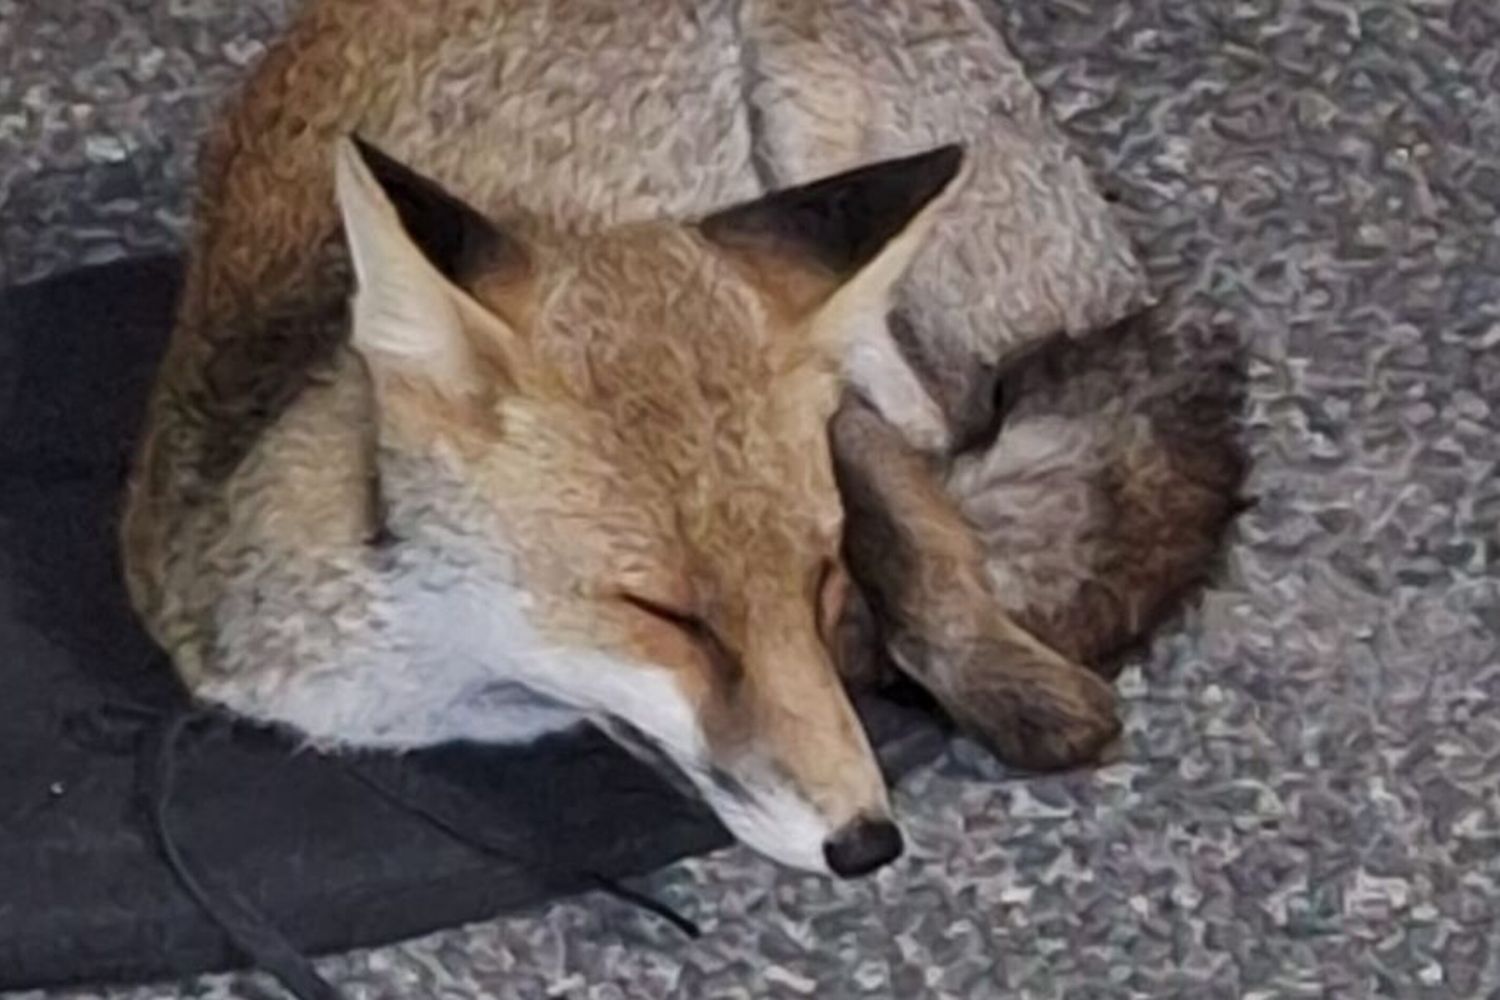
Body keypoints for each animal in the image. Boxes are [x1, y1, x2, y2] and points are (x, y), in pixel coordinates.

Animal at [121, 0, 1238, 878]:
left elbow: (924, 541)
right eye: (663, 613)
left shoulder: (829, 407)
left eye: (817, 574)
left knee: (945, 432)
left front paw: (1000, 677)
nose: (866, 843)